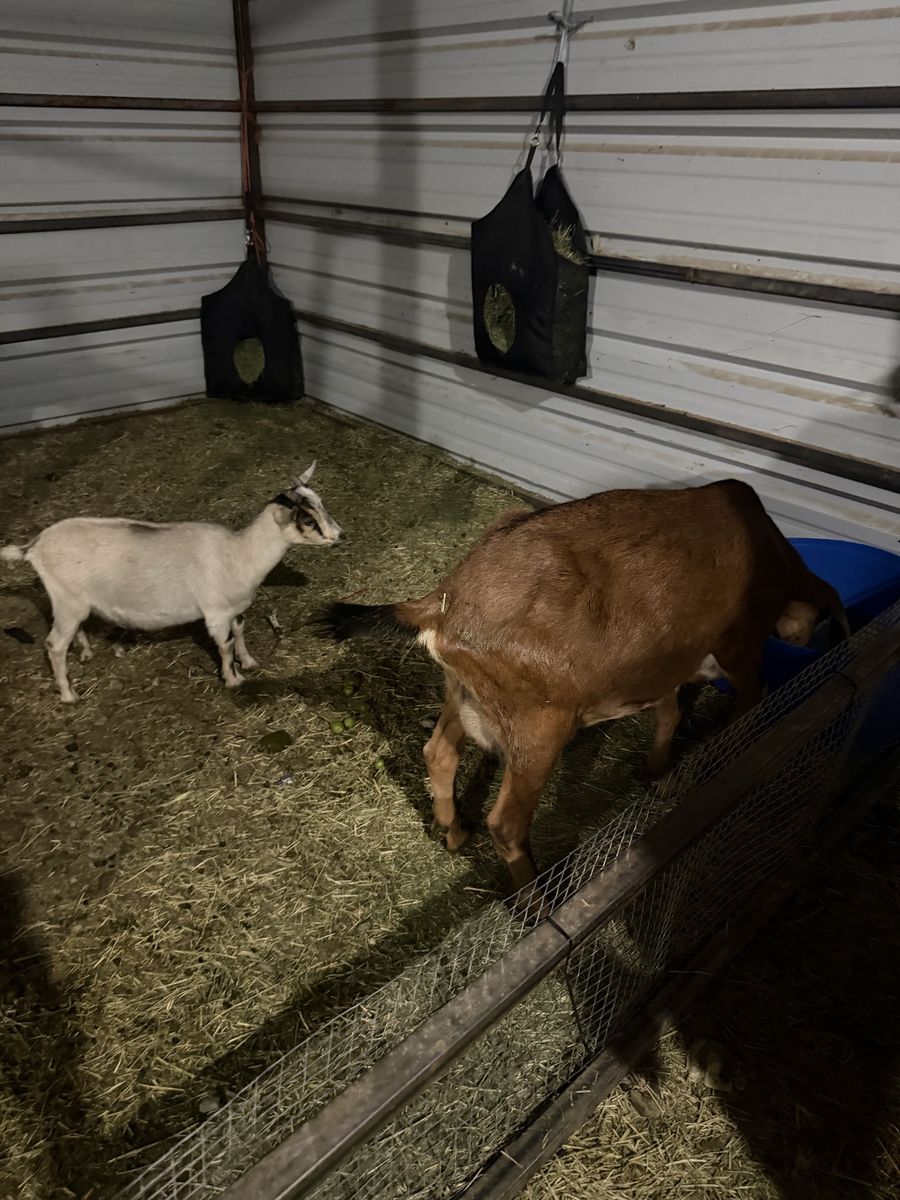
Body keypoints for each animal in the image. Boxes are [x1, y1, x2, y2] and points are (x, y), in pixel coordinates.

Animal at [1, 463, 341, 702]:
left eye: (322, 503)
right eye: (307, 519)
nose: (339, 536)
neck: (238, 554)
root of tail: (34, 546)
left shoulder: (235, 608)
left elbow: (240, 632)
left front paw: (249, 661)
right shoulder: (215, 613)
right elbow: (224, 644)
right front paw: (234, 679)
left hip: (73, 601)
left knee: (73, 630)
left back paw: (85, 653)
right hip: (66, 600)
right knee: (54, 645)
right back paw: (69, 694)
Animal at [314, 479, 847, 890]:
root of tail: (443, 601)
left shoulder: (662, 663)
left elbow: (670, 711)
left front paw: (654, 769)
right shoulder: (737, 646)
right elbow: (749, 699)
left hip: (462, 695)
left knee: (439, 753)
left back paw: (453, 832)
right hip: (538, 726)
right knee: (506, 824)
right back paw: (534, 899)